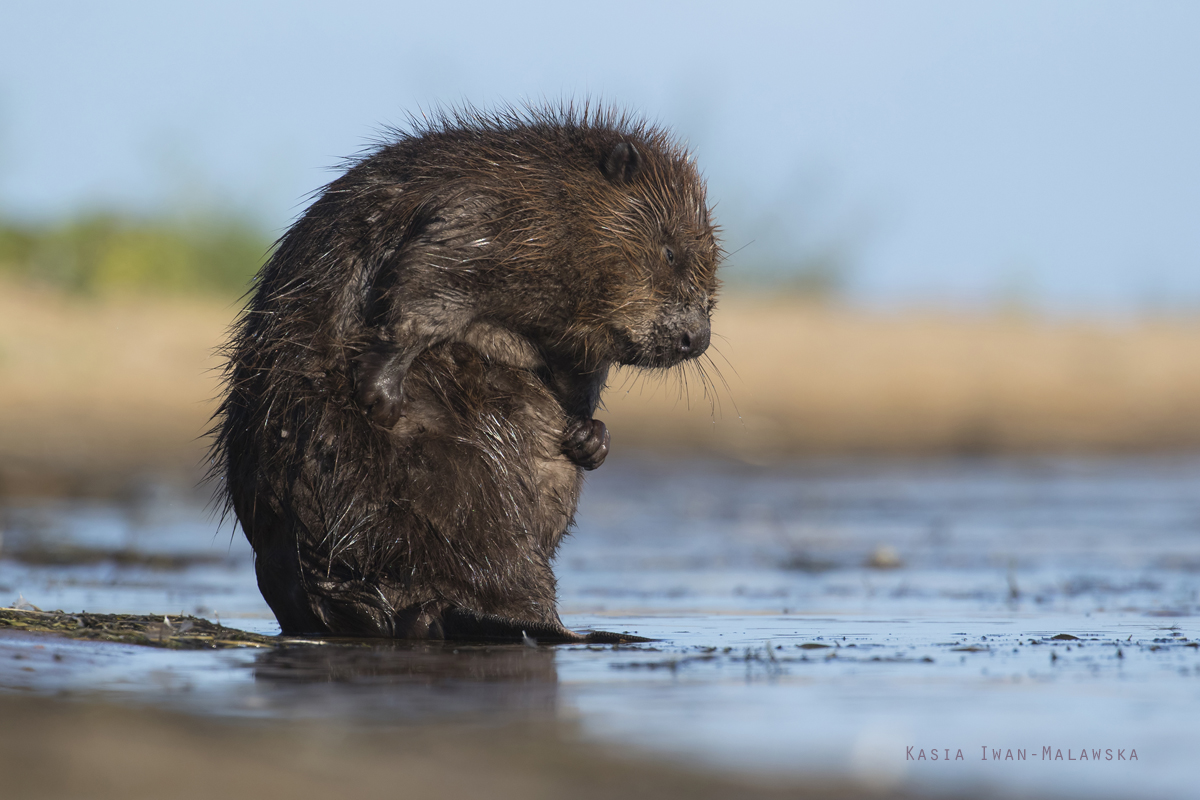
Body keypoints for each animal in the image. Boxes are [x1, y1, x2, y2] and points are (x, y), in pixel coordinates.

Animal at [212, 104, 720, 642]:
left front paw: (589, 437)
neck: (553, 192)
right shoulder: (485, 213)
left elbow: (579, 371)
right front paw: (380, 392)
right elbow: (425, 277)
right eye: (670, 252)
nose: (697, 338)